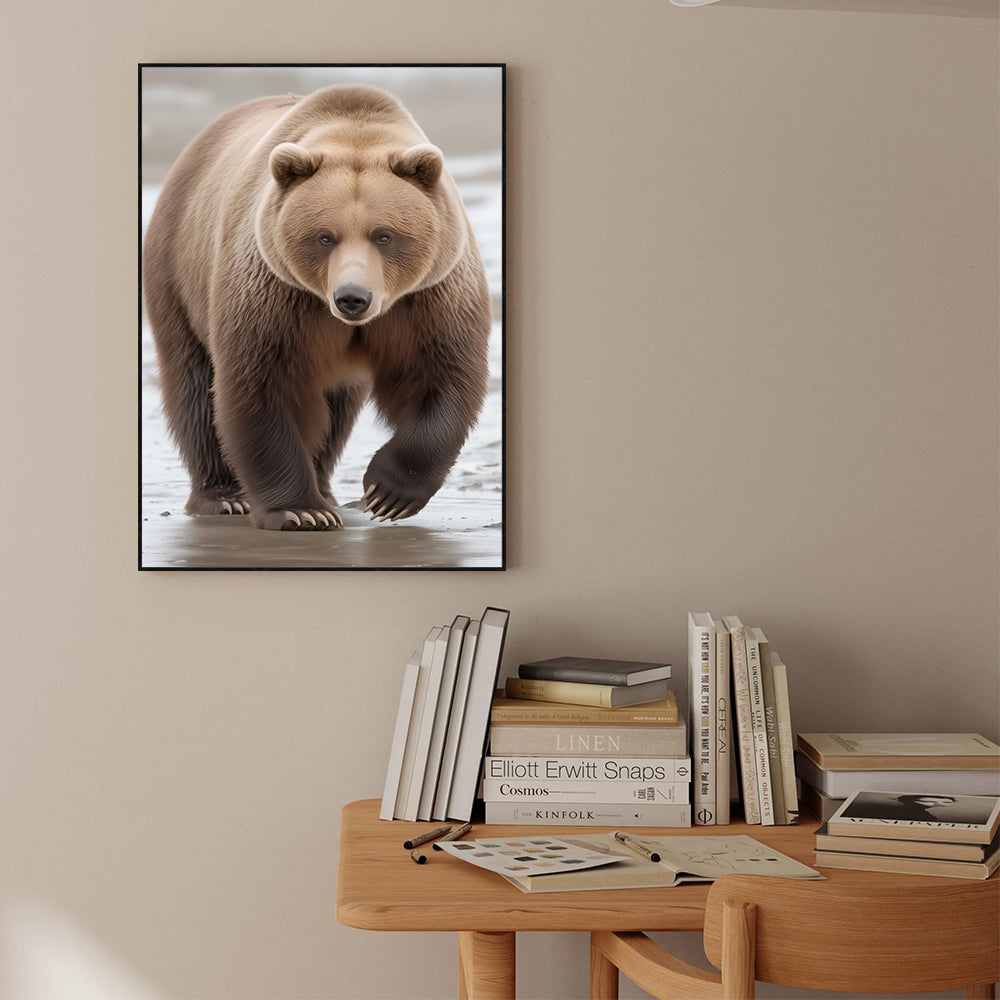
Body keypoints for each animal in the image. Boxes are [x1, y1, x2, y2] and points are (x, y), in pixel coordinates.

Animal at [142, 84, 491, 531]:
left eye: (384, 235)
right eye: (325, 237)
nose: (352, 297)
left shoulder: (429, 297)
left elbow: (440, 376)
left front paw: (387, 494)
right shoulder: (275, 293)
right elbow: (263, 383)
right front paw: (300, 510)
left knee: (337, 410)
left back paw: (326, 489)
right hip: (178, 273)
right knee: (195, 389)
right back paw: (224, 497)